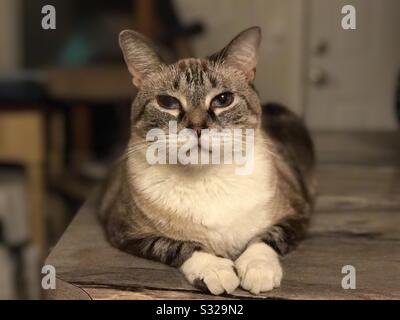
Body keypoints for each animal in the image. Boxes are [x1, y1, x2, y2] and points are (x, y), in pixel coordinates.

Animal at [97, 26, 316, 296]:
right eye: (168, 103)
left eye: (223, 100)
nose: (198, 127)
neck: (206, 179)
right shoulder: (126, 232)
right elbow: (179, 245)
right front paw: (216, 270)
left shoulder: (297, 213)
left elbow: (267, 239)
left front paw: (257, 270)